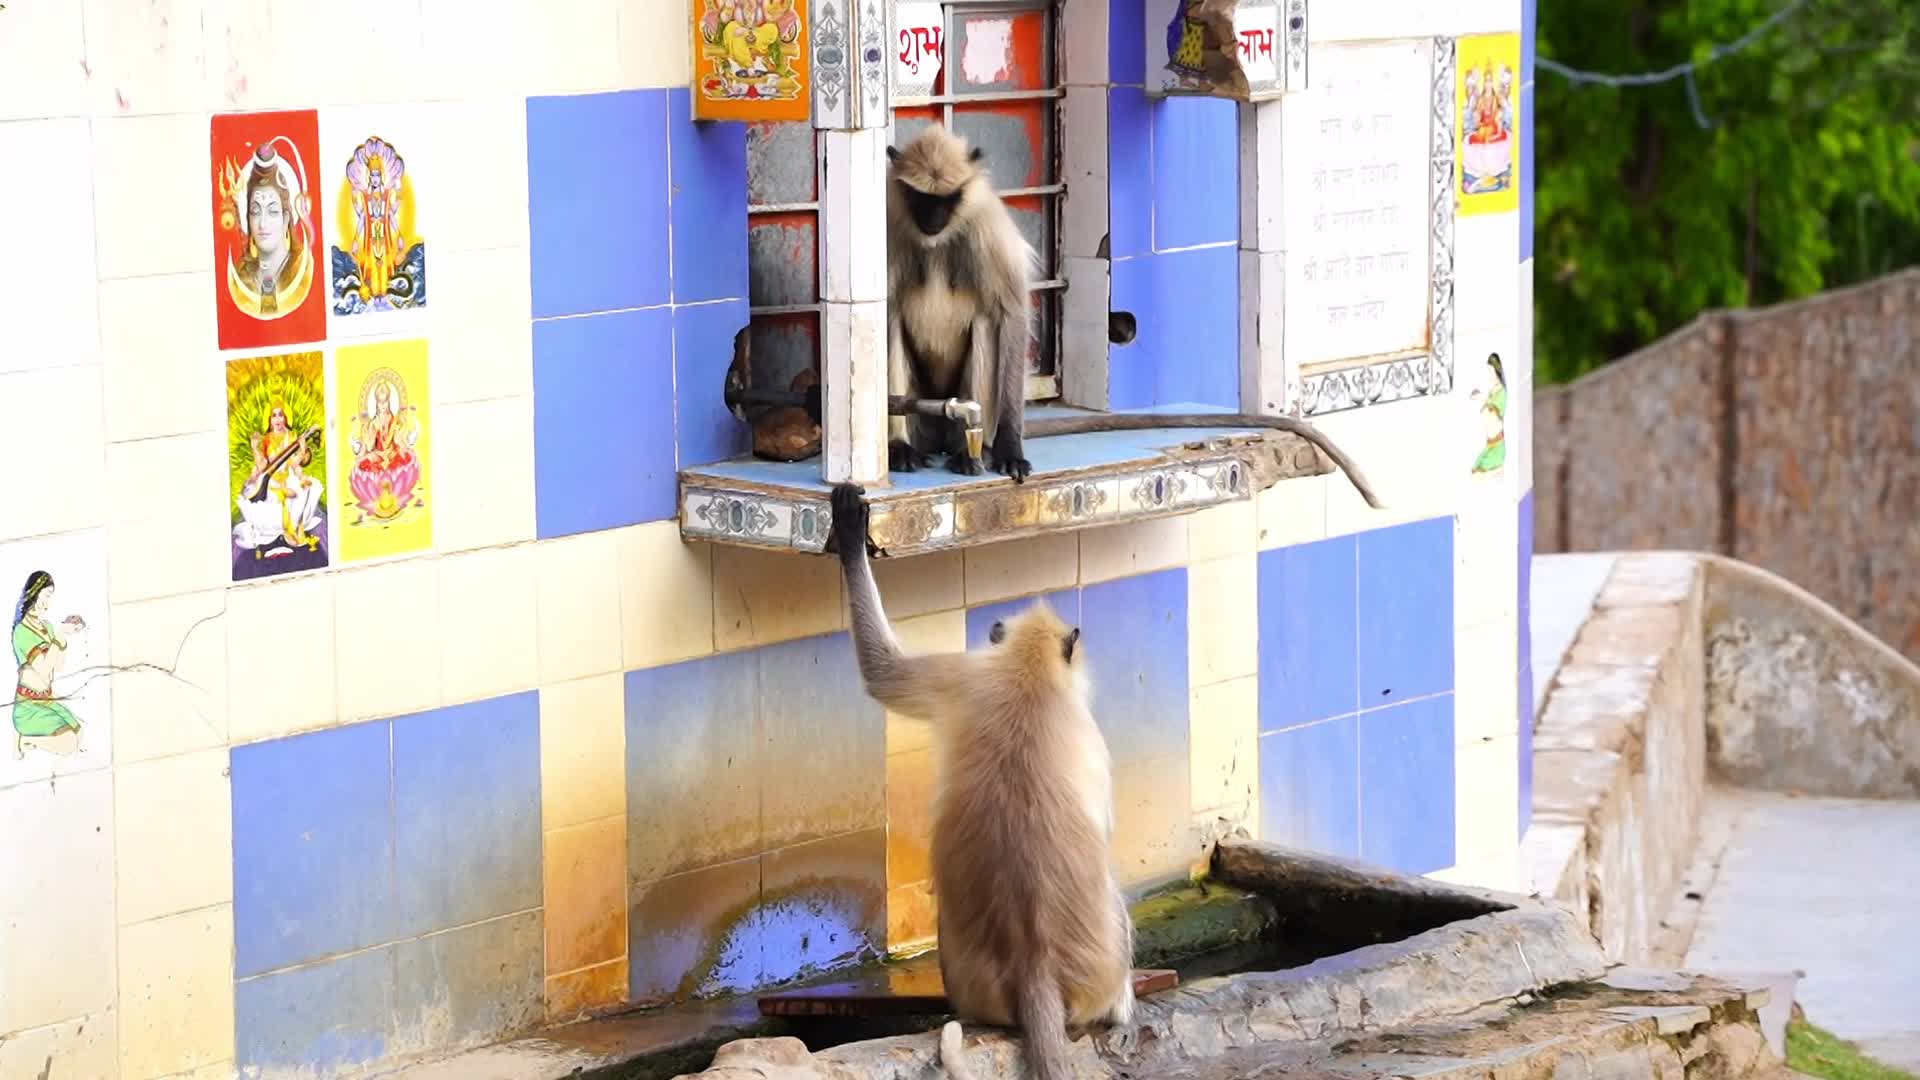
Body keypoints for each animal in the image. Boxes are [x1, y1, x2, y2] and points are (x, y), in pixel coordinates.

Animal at [829, 481, 1135, 1080]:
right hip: (1102, 969)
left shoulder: (964, 677)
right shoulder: (1084, 730)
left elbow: (882, 673)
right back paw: (1121, 1010)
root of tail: (1034, 969)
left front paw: (851, 530)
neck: (1026, 671)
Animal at [886, 124, 1037, 484]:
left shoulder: (986, 227)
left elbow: (1012, 315)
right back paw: (900, 446)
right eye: (922, 198)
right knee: (892, 319)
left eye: (947, 198)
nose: (933, 217)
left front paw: (1011, 446)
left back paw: (970, 453)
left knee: (984, 322)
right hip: (921, 409)